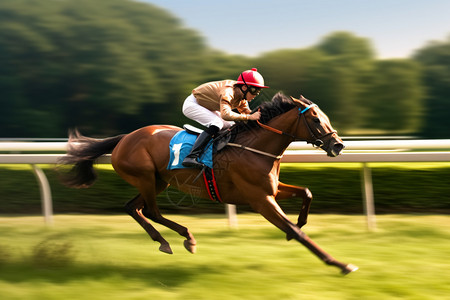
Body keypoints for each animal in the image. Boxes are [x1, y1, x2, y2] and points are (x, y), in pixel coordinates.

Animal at [59, 93, 356, 274]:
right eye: (315, 119)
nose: (338, 145)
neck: (255, 147)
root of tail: (124, 138)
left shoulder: (271, 189)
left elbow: (306, 192)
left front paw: (300, 222)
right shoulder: (260, 199)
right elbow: (296, 231)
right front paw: (339, 264)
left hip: (157, 182)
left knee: (133, 207)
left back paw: (166, 240)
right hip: (145, 178)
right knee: (152, 210)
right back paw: (184, 238)